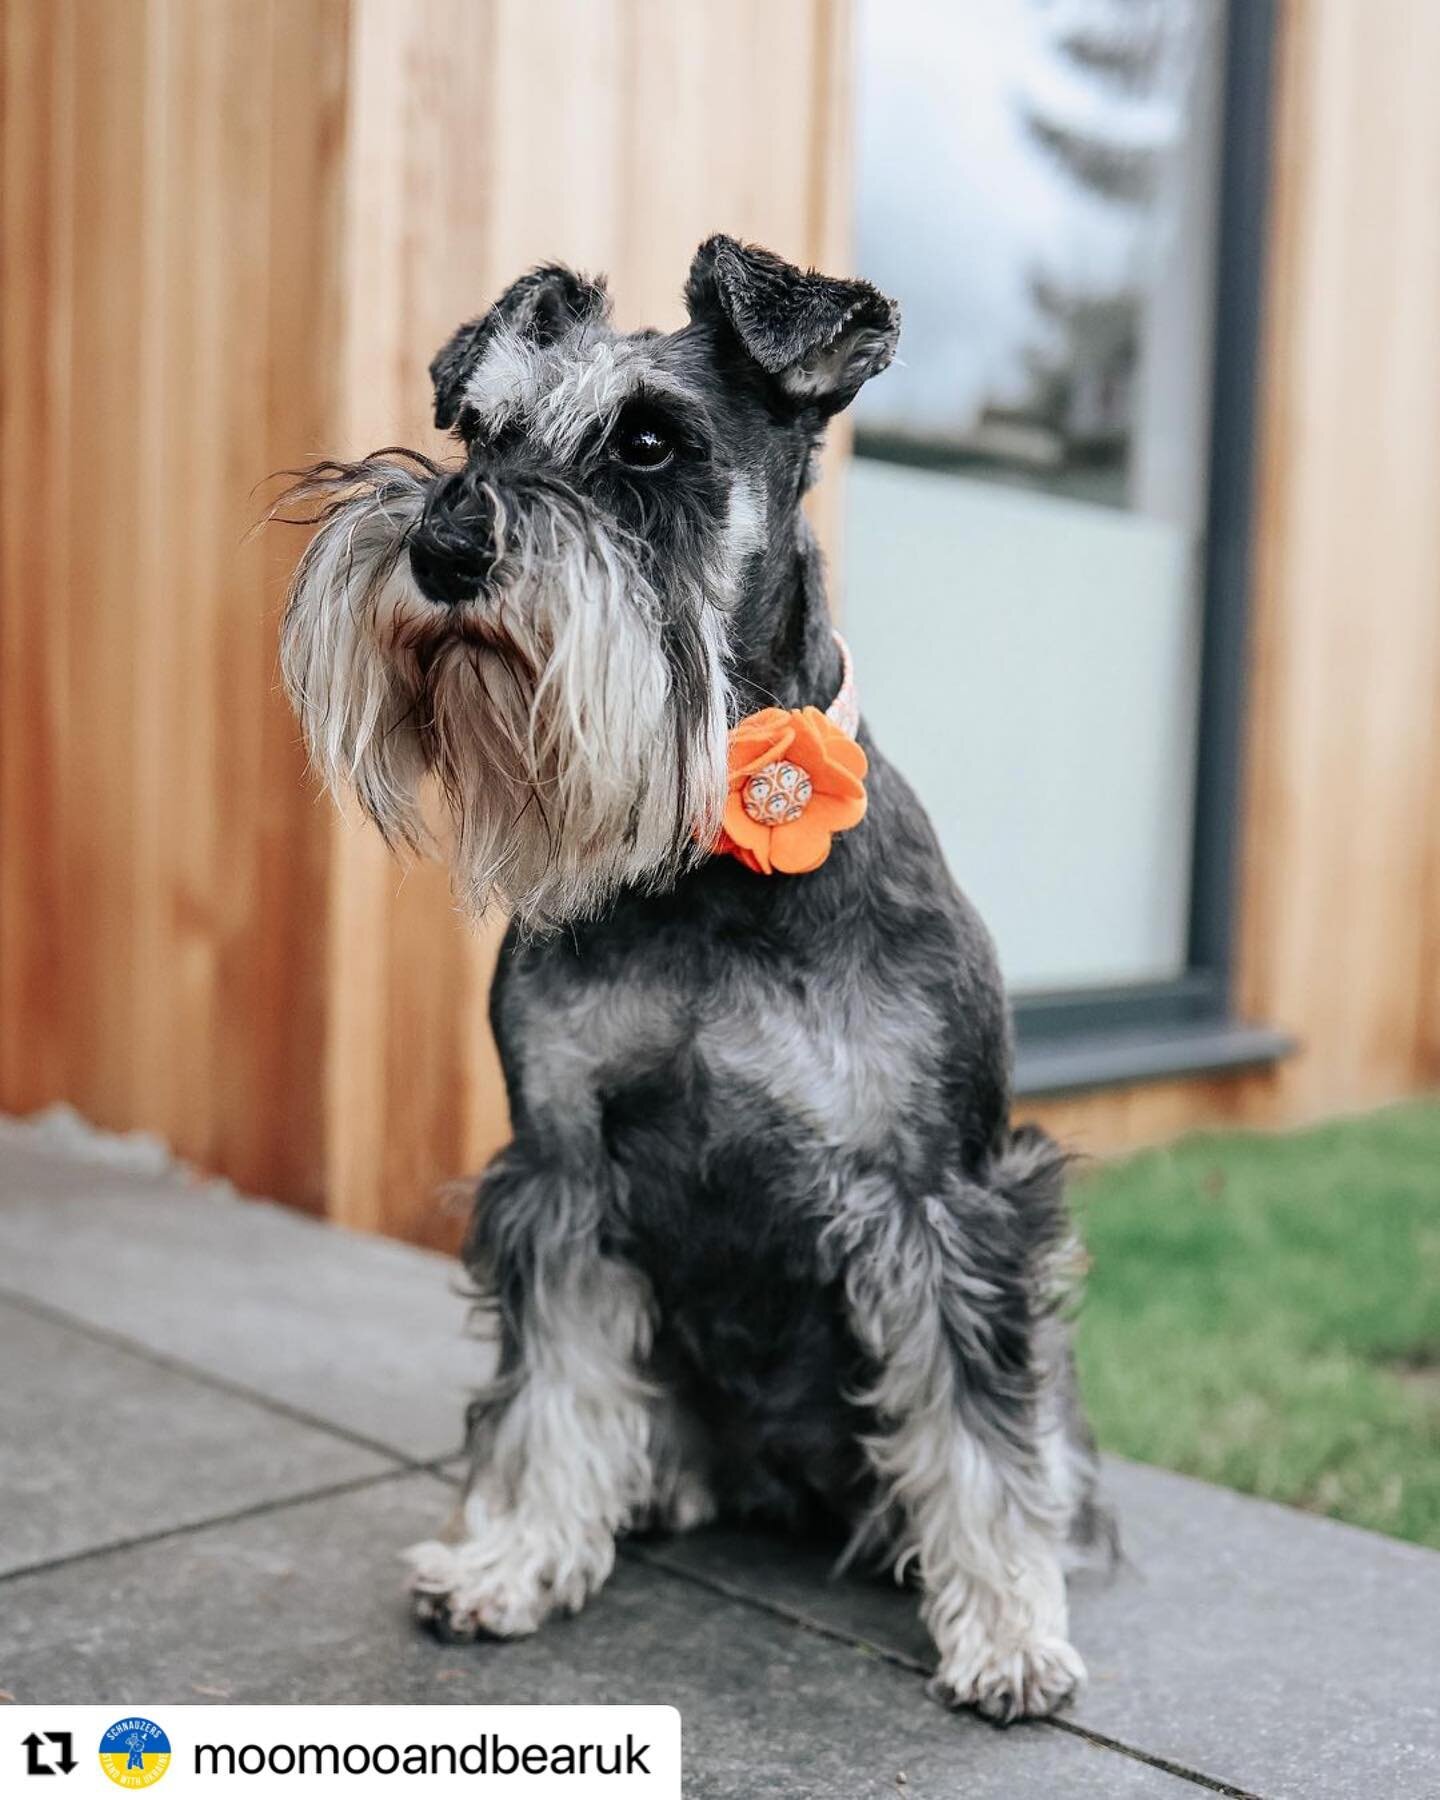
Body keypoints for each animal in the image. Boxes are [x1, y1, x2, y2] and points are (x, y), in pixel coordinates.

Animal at [279, 235, 1101, 1713]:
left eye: (651, 443)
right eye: (478, 429)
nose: (443, 544)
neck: (713, 860)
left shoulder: (940, 1196)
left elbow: (972, 1423)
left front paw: (1009, 1628)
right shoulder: (557, 1171)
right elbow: (551, 1385)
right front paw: (512, 1556)